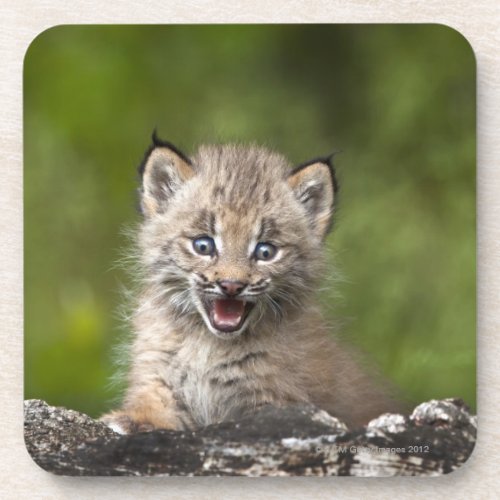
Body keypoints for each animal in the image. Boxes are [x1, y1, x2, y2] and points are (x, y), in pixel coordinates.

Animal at [101, 135, 398, 432]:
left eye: (265, 252)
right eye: (203, 245)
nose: (231, 286)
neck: (208, 342)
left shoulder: (272, 398)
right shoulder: (157, 373)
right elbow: (152, 403)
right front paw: (133, 419)